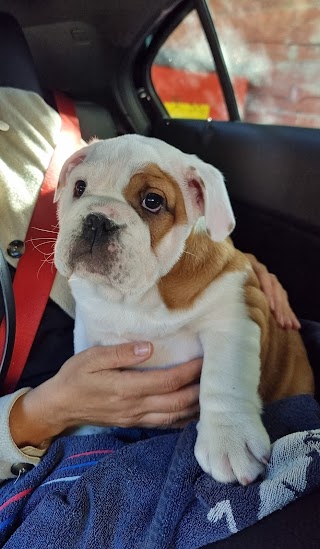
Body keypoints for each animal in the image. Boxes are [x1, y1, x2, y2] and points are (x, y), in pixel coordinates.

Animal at [53, 135, 314, 486]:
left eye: (152, 201)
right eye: (79, 187)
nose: (97, 220)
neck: (136, 297)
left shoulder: (232, 312)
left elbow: (224, 379)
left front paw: (228, 440)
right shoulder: (89, 331)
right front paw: (89, 427)